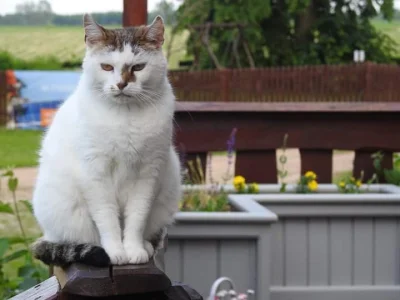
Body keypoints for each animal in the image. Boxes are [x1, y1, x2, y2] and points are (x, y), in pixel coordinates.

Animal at [31, 14, 181, 268]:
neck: (125, 117)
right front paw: (115, 252)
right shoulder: (95, 175)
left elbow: (137, 218)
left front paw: (134, 249)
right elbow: (107, 218)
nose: (121, 84)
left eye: (138, 67)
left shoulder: (147, 175)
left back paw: (146, 246)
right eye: (107, 67)